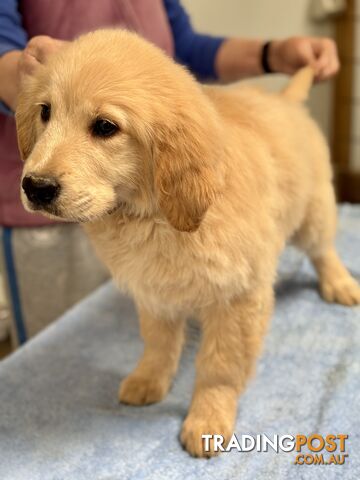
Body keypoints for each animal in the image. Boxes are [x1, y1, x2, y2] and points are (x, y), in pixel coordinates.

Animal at [16, 29, 360, 458]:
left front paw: (208, 417)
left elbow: (220, 365)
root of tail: (285, 99)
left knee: (323, 248)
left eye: (105, 127)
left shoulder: (238, 296)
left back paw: (340, 283)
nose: (35, 186)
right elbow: (158, 342)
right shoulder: (153, 290)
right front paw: (149, 378)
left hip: (313, 210)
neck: (153, 218)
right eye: (45, 112)